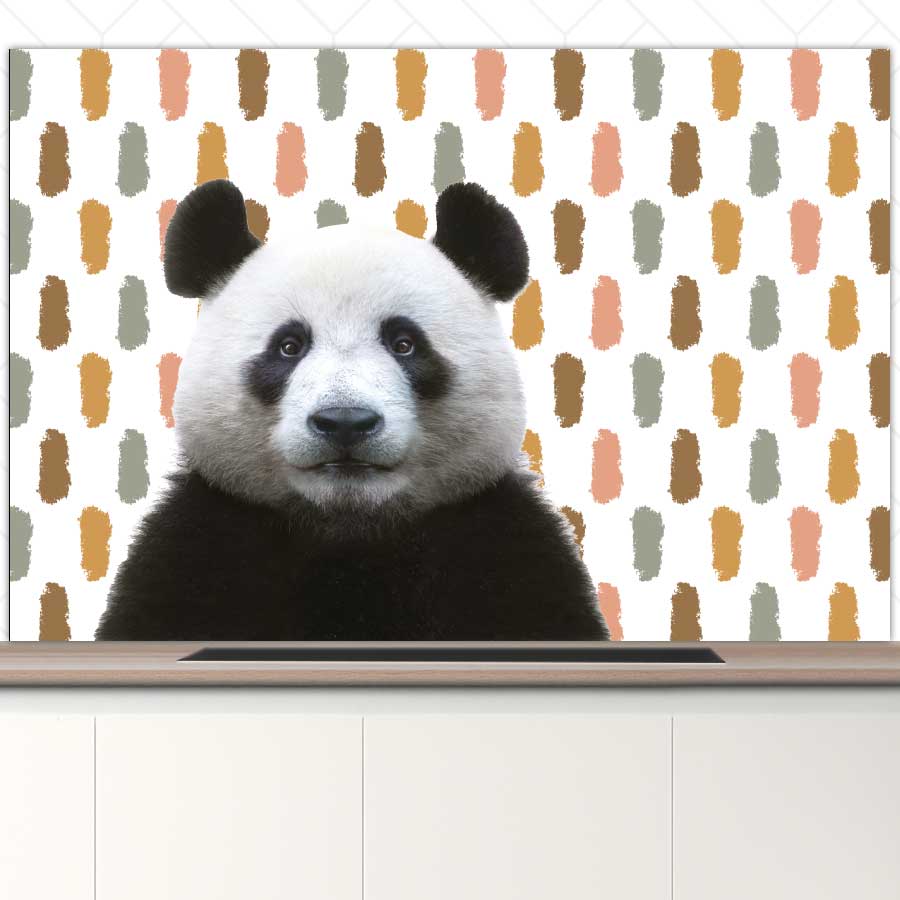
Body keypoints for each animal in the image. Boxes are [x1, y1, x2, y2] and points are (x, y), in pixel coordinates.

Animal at [95, 179, 610, 641]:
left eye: (404, 343)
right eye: (289, 346)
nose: (345, 422)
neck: (350, 530)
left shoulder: (500, 547)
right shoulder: (200, 547)